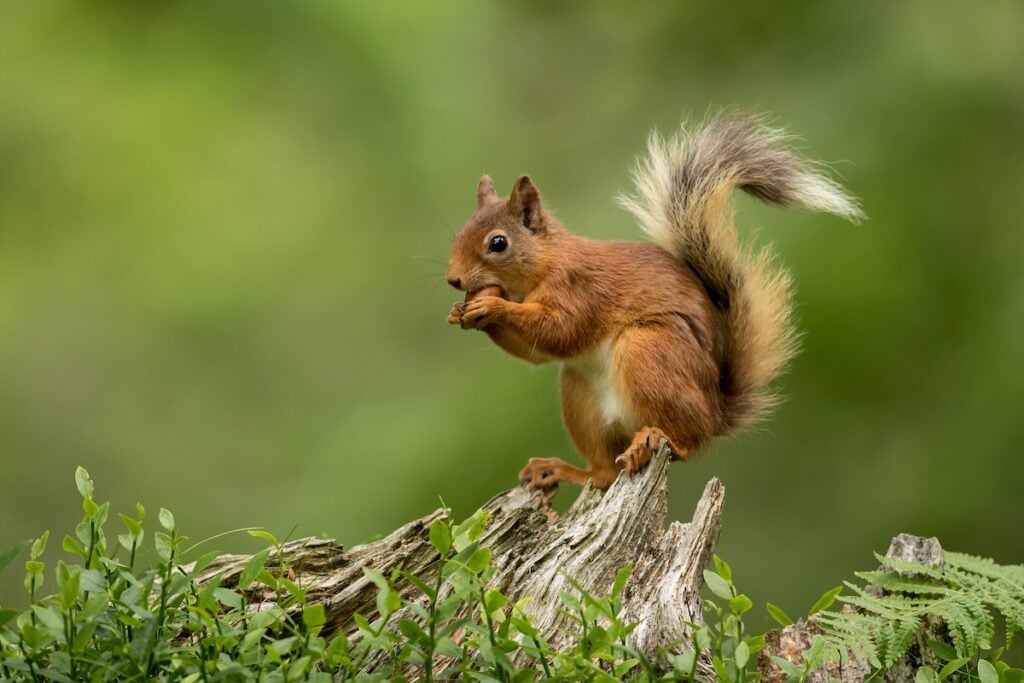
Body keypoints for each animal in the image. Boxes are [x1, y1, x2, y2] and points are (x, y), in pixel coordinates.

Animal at [446, 113, 863, 491]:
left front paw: (493, 307)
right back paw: (560, 469)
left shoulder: (579, 289)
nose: (454, 280)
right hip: (581, 397)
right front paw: (463, 313)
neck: (542, 265)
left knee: (686, 443)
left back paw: (658, 440)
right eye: (458, 232)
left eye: (498, 243)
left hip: (649, 351)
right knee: (603, 474)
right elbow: (536, 352)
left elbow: (561, 331)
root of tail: (715, 412)